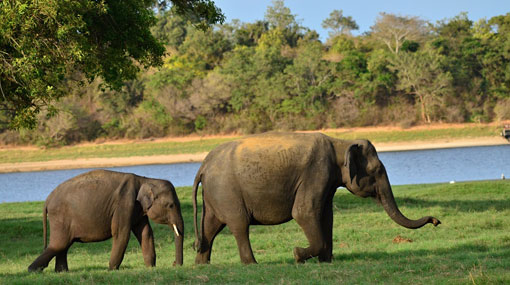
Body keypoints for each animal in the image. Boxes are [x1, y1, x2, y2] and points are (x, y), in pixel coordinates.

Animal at [27, 169, 183, 270]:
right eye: (171, 205)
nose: (174, 264)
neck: (145, 179)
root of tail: (47, 200)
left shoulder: (138, 209)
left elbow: (145, 233)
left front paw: (151, 268)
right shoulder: (124, 204)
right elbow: (121, 233)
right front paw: (112, 269)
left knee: (63, 245)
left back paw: (61, 272)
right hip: (60, 217)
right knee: (59, 244)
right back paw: (33, 270)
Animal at [193, 132, 440, 262]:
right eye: (377, 171)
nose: (436, 220)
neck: (340, 143)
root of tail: (203, 165)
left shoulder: (327, 180)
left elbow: (325, 215)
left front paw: (325, 261)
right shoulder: (317, 171)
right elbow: (304, 212)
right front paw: (298, 255)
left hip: (215, 196)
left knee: (210, 228)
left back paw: (202, 265)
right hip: (227, 191)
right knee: (239, 225)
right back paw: (251, 264)